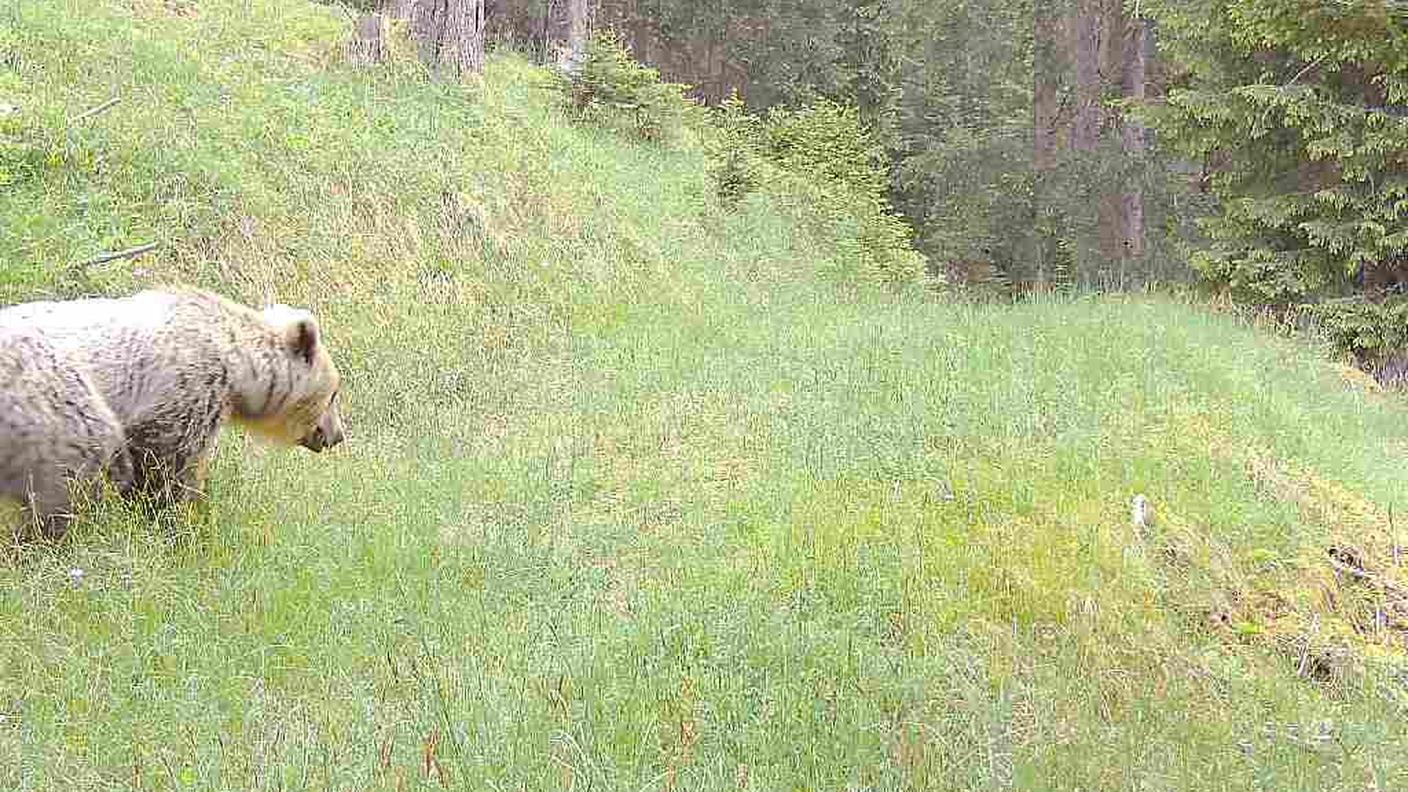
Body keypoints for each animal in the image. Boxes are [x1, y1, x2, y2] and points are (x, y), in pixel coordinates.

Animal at [0, 286, 345, 538]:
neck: (239, 369)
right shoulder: (187, 390)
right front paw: (177, 520)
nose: (337, 435)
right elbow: (168, 469)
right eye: (333, 394)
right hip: (49, 402)